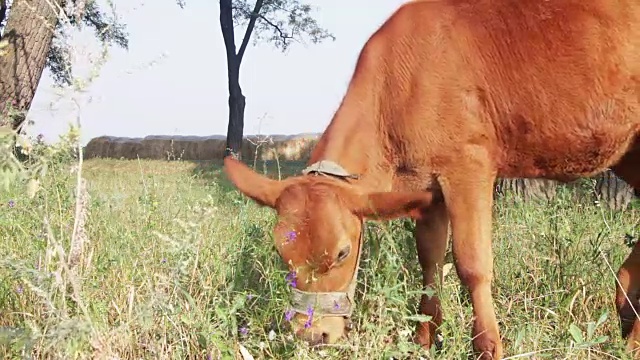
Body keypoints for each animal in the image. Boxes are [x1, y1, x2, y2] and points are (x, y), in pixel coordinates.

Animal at [224, 1, 640, 358]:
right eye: (281, 252)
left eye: (342, 252)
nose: (313, 335)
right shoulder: (424, 188)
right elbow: (429, 262)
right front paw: (423, 340)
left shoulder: (467, 165)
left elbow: (471, 262)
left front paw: (487, 347)